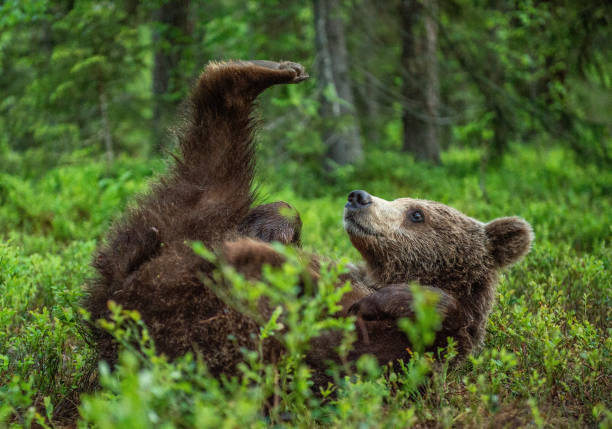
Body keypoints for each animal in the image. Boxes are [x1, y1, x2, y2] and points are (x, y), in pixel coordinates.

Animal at [83, 58, 532, 380]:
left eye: (416, 213)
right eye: (405, 200)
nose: (358, 196)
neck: (381, 273)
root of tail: (116, 298)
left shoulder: (408, 348)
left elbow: (426, 319)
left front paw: (381, 302)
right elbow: (285, 216)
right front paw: (270, 232)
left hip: (175, 316)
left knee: (207, 177)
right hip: (174, 244)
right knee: (209, 176)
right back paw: (268, 71)